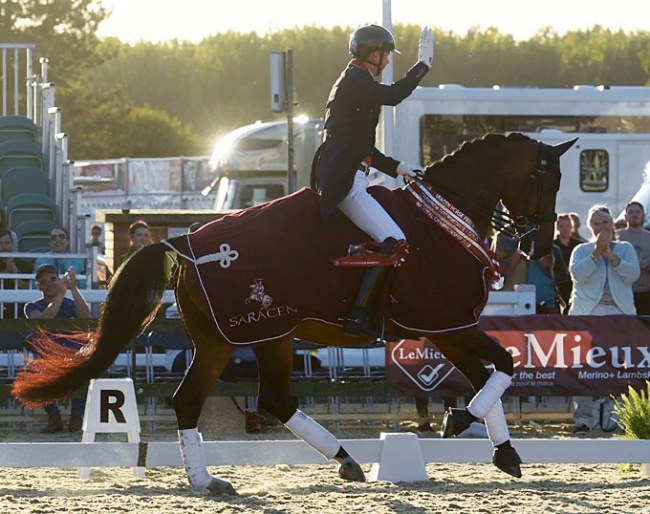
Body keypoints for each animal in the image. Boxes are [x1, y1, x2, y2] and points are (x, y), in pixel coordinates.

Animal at [13, 132, 572, 492]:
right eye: (547, 181)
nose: (542, 246)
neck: (443, 219)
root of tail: (185, 243)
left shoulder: (449, 327)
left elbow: (488, 373)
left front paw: (502, 450)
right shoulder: (446, 322)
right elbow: (502, 367)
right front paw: (463, 423)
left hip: (225, 340)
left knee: (199, 400)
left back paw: (214, 479)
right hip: (265, 334)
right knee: (264, 399)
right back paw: (329, 463)